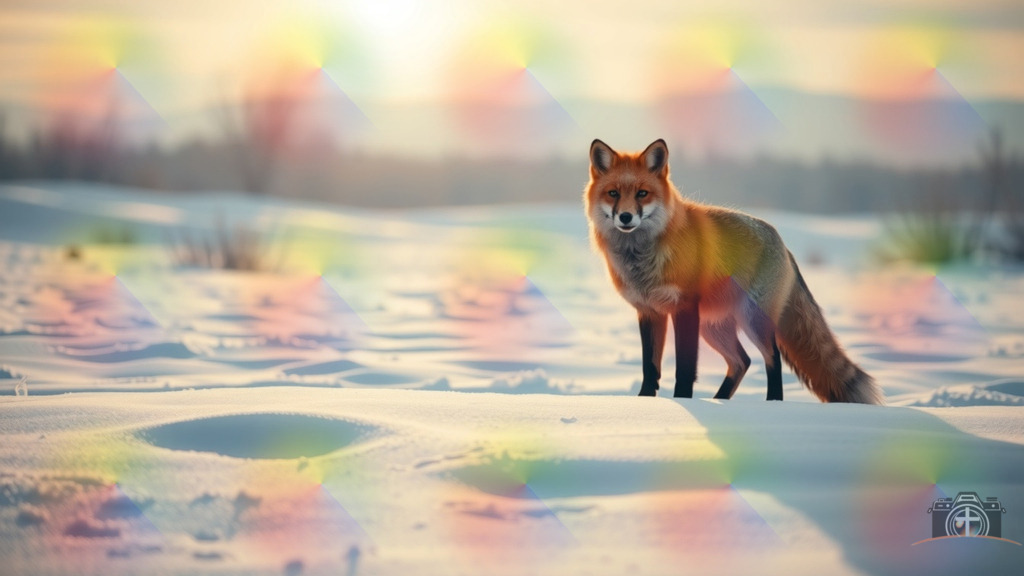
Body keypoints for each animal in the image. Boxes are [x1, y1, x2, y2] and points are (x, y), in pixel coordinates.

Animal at [583, 138, 882, 404]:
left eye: (642, 194)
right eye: (613, 194)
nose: (625, 217)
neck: (641, 259)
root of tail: (783, 245)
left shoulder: (684, 307)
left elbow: (685, 368)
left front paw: (684, 402)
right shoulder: (648, 311)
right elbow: (650, 367)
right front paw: (644, 402)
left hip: (752, 320)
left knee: (772, 359)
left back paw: (772, 403)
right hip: (713, 327)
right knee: (742, 361)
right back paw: (721, 400)